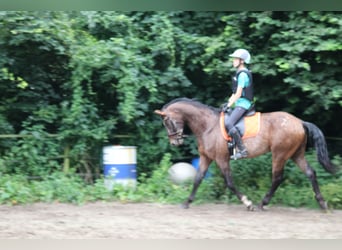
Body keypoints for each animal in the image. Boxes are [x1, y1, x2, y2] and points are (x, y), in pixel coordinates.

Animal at [154, 97, 336, 211]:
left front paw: (247, 203)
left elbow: (229, 182)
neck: (207, 125)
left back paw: (262, 203)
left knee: (277, 178)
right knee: (310, 172)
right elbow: (198, 179)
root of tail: (299, 122)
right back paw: (322, 203)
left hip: (280, 154)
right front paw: (187, 202)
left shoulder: (221, 159)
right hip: (296, 154)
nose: (175, 142)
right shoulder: (206, 158)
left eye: (167, 122)